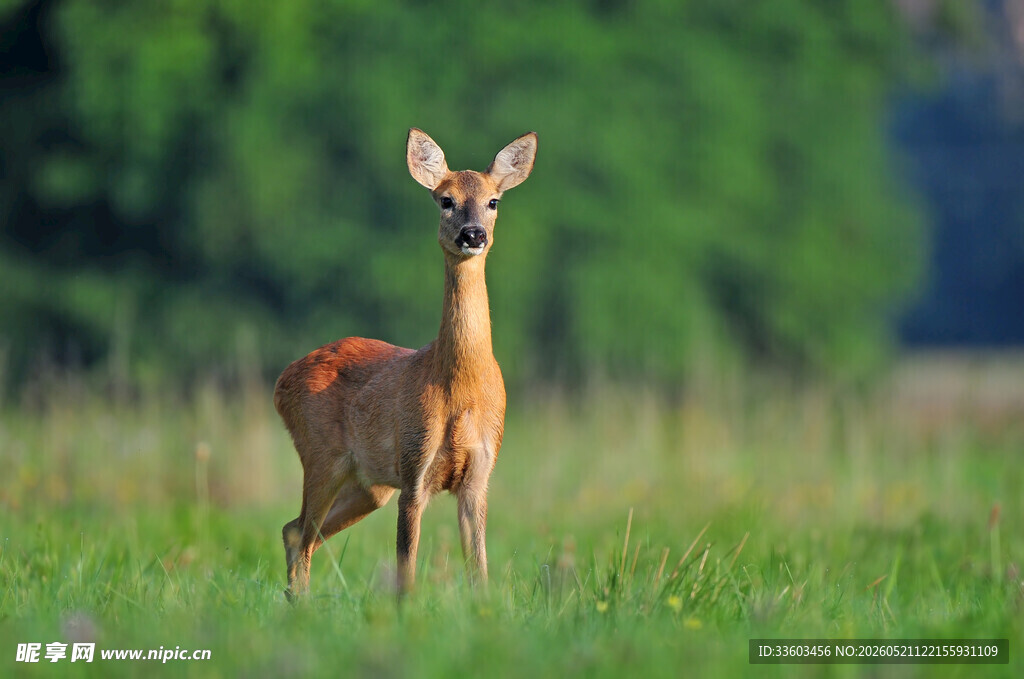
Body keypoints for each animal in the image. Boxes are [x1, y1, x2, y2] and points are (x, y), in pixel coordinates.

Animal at [274, 128, 538, 599]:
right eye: (445, 199)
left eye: (493, 201)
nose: (473, 234)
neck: (460, 386)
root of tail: (280, 381)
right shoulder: (415, 468)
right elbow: (406, 572)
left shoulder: (479, 475)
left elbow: (480, 573)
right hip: (321, 456)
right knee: (301, 534)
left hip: (368, 484)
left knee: (295, 530)